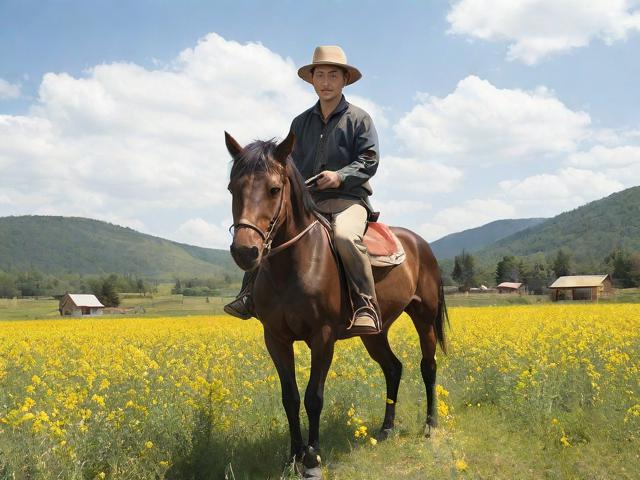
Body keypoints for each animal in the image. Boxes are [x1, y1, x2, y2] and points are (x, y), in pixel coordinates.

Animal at [225, 130, 448, 478]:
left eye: (274, 189)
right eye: (233, 188)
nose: (246, 252)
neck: (294, 264)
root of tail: (421, 244)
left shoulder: (323, 336)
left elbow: (313, 397)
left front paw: (313, 460)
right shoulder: (275, 338)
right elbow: (290, 397)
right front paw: (293, 456)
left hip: (423, 317)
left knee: (428, 366)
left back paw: (430, 425)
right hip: (375, 332)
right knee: (393, 368)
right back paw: (386, 428)